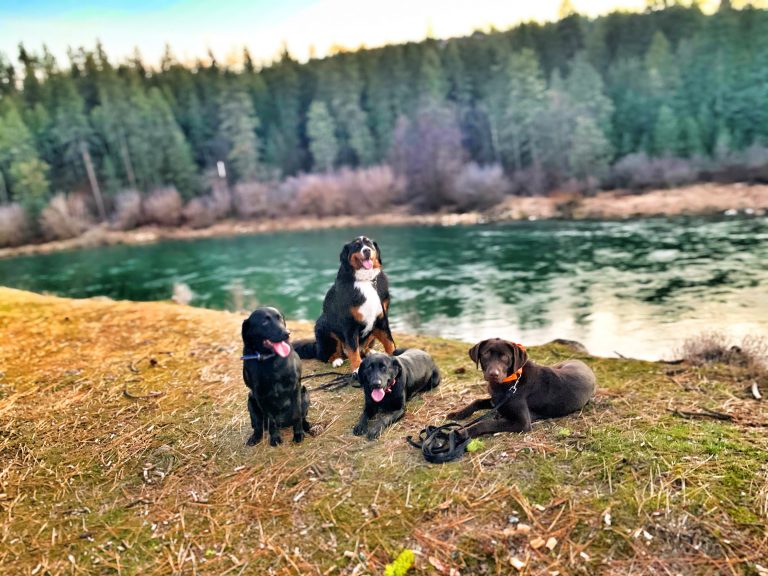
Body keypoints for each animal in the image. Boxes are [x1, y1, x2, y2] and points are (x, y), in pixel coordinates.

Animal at [242, 306, 310, 446]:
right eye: (265, 322)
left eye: (280, 318)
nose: (287, 333)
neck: (269, 359)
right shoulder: (260, 395)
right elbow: (271, 420)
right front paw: (275, 438)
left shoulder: (295, 387)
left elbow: (297, 415)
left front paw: (298, 434)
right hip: (251, 402)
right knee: (258, 426)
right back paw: (255, 438)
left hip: (304, 394)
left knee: (302, 416)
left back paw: (307, 427)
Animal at [296, 236, 396, 372]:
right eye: (357, 246)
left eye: (369, 244)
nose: (367, 250)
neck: (365, 281)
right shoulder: (349, 324)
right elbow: (353, 350)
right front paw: (357, 368)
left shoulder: (381, 319)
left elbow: (389, 342)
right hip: (324, 327)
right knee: (326, 355)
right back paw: (336, 360)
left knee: (362, 349)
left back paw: (370, 352)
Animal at [448, 338, 596, 436]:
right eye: (486, 354)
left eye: (505, 357)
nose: (493, 374)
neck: (512, 381)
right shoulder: (496, 400)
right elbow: (477, 401)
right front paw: (457, 413)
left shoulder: (522, 422)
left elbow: (485, 423)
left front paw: (463, 432)